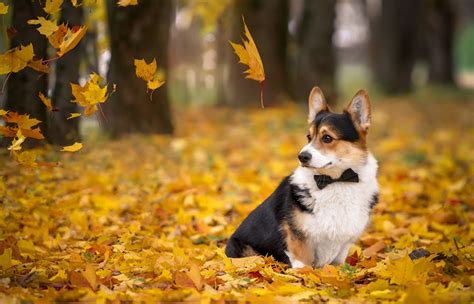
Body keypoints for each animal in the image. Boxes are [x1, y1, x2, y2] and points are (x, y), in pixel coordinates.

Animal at [225, 86, 378, 268]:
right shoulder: (298, 236)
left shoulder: (344, 244)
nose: (302, 156)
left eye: (327, 137)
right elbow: (303, 262)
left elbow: (337, 264)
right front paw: (304, 275)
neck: (335, 181)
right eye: (308, 137)